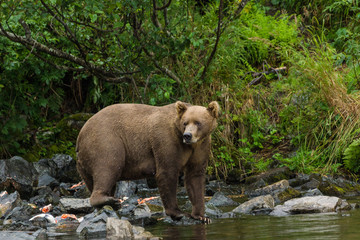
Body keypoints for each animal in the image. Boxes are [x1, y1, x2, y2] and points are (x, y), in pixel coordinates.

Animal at [76, 101, 219, 221]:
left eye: (198, 122)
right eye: (185, 123)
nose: (187, 135)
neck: (190, 144)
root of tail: (80, 133)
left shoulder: (201, 147)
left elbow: (195, 177)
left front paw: (201, 216)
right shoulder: (167, 141)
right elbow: (167, 172)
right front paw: (178, 212)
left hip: (84, 161)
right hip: (105, 140)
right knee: (107, 167)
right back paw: (110, 200)